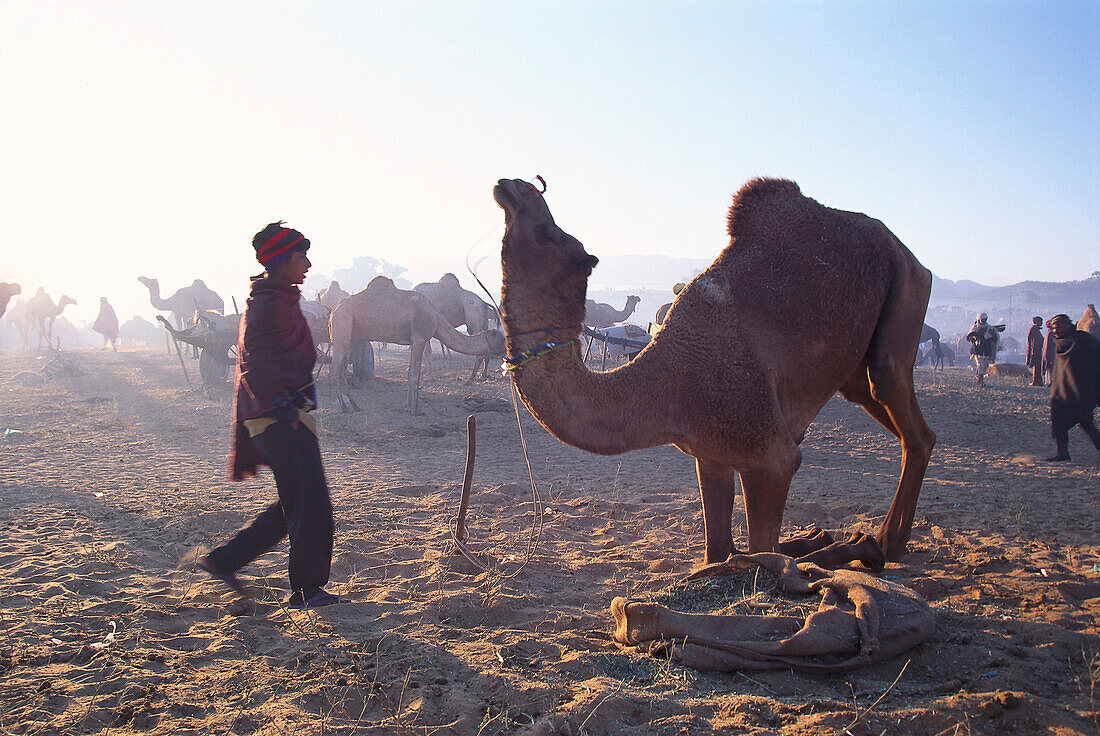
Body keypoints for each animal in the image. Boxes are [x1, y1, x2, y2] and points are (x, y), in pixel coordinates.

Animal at [327, 275, 503, 413]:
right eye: (500, 339)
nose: (505, 353)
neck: (436, 316)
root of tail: (334, 310)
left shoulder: (414, 340)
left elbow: (411, 372)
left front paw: (409, 405)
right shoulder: (419, 338)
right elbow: (414, 373)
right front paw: (414, 409)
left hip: (350, 336)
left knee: (342, 372)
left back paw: (355, 406)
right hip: (342, 327)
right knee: (334, 371)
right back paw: (344, 408)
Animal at [499, 176, 937, 563]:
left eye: (550, 234)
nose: (512, 185)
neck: (665, 383)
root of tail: (907, 250)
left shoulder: (770, 456)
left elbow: (763, 554)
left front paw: (842, 544)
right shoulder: (709, 454)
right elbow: (720, 553)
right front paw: (814, 538)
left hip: (908, 290)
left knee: (899, 396)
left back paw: (885, 542)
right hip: (855, 368)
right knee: (889, 409)